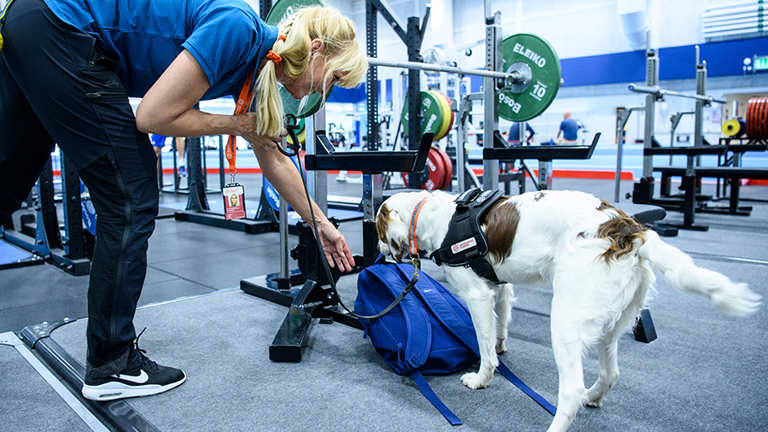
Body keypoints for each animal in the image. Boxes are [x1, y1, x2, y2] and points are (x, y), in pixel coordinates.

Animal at [376, 191, 760, 432]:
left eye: (378, 231)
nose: (379, 253)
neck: (432, 216)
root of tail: (628, 228)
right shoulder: (500, 286)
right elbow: (500, 325)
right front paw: (502, 346)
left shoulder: (477, 295)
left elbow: (485, 345)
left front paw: (482, 378)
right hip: (611, 322)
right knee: (610, 373)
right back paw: (594, 396)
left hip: (566, 319)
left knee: (572, 390)